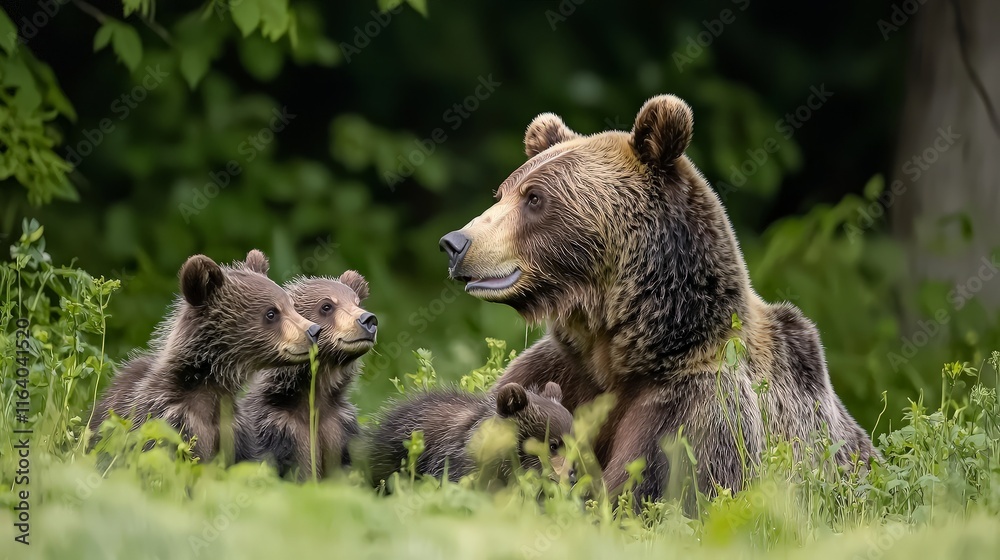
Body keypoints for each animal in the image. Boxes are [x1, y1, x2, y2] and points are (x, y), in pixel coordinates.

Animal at [88, 250, 321, 460]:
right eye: (271, 313)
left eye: (291, 305)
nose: (313, 331)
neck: (208, 389)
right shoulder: (167, 421)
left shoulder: (235, 432)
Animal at [437, 94, 878, 503]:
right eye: (502, 193)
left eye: (535, 197)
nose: (455, 243)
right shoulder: (555, 371)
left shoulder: (695, 405)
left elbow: (648, 491)